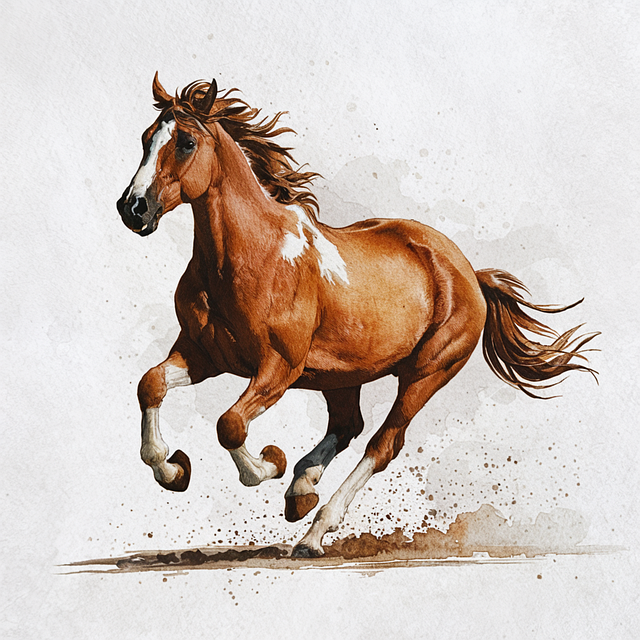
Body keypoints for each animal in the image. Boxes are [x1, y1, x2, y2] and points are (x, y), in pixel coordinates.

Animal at [116, 75, 597, 557]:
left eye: (186, 142)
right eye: (145, 139)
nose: (132, 208)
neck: (250, 256)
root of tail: (470, 273)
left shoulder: (278, 368)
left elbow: (230, 425)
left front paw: (271, 462)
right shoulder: (204, 355)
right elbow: (151, 384)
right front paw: (174, 470)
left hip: (427, 372)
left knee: (382, 444)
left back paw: (314, 531)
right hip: (341, 375)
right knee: (349, 425)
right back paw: (302, 490)